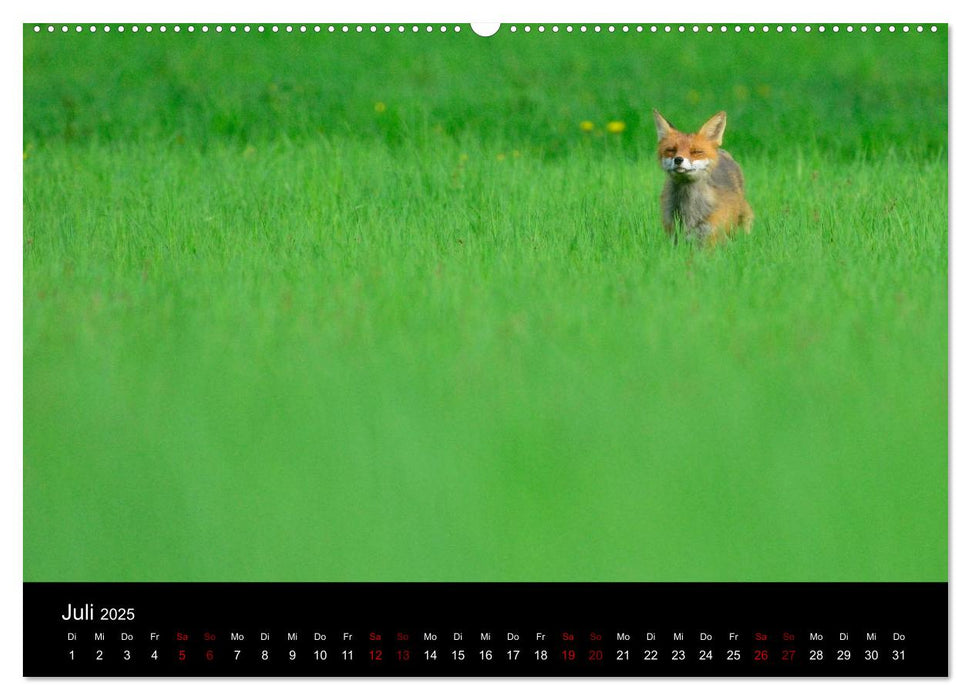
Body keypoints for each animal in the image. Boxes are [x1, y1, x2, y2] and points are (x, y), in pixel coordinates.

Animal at [656, 108, 756, 242]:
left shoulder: (710, 237)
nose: (678, 160)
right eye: (671, 150)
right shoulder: (673, 233)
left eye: (696, 151)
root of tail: (722, 151)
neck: (688, 209)